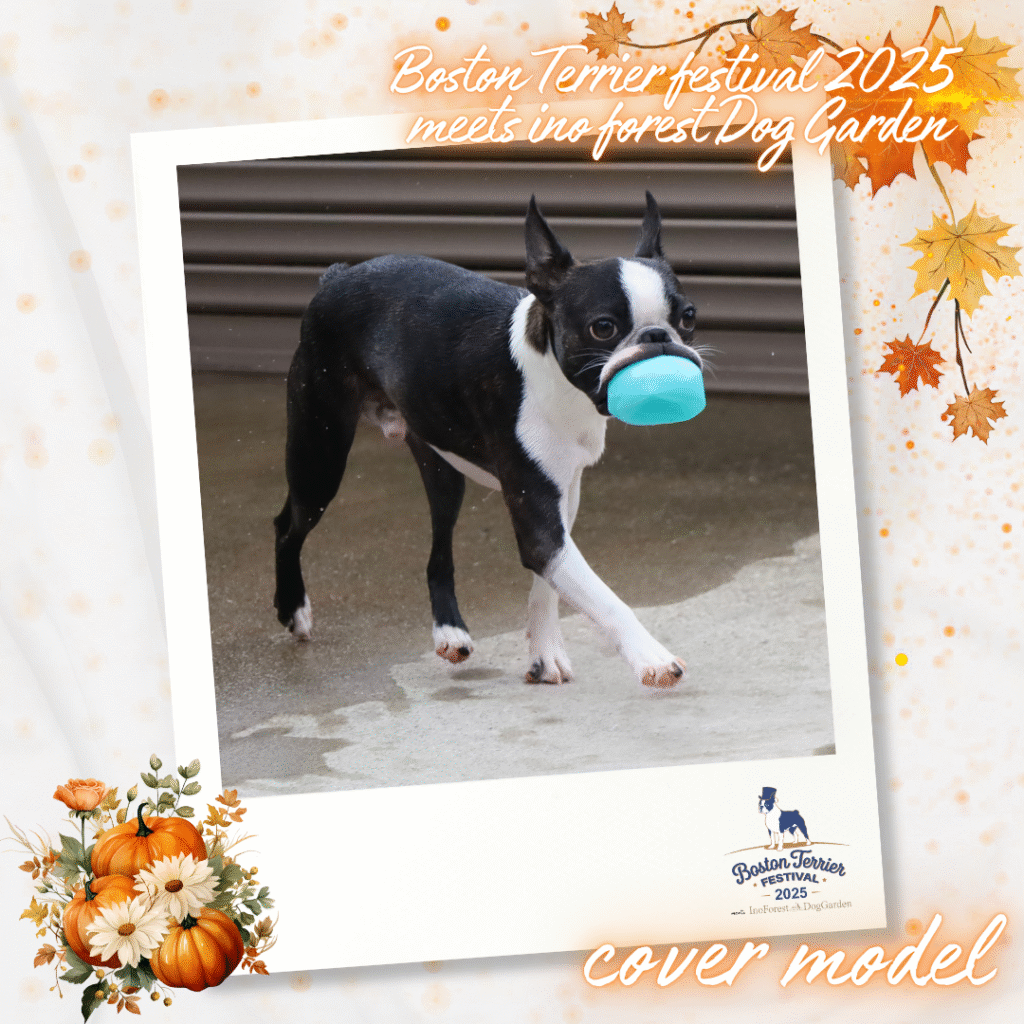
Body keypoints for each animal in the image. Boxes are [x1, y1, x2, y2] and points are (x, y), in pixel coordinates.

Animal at [273, 193, 702, 688]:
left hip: (441, 467)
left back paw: (449, 630)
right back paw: (293, 609)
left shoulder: (563, 495)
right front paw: (651, 656)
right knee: (287, 525)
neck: (558, 383)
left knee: (439, 552)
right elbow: (602, 596)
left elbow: (550, 584)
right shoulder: (540, 519)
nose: (658, 337)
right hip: (319, 456)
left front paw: (545, 653)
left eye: (688, 317)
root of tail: (337, 275)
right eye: (603, 328)